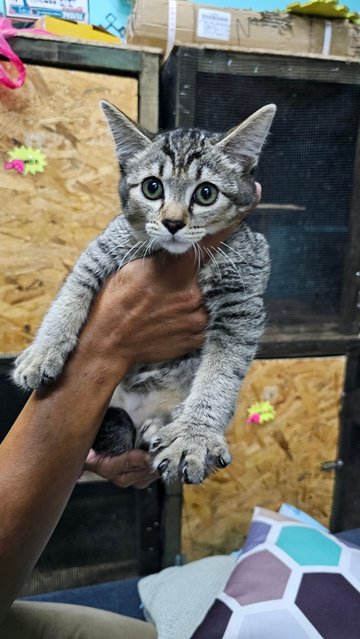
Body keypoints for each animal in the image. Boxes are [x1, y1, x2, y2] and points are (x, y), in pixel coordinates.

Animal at [12, 100, 274, 482]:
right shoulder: (102, 248)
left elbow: (221, 372)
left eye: (206, 193)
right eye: (152, 188)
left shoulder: (243, 294)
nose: (173, 222)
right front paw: (43, 351)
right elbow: (71, 293)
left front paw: (194, 435)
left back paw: (160, 425)